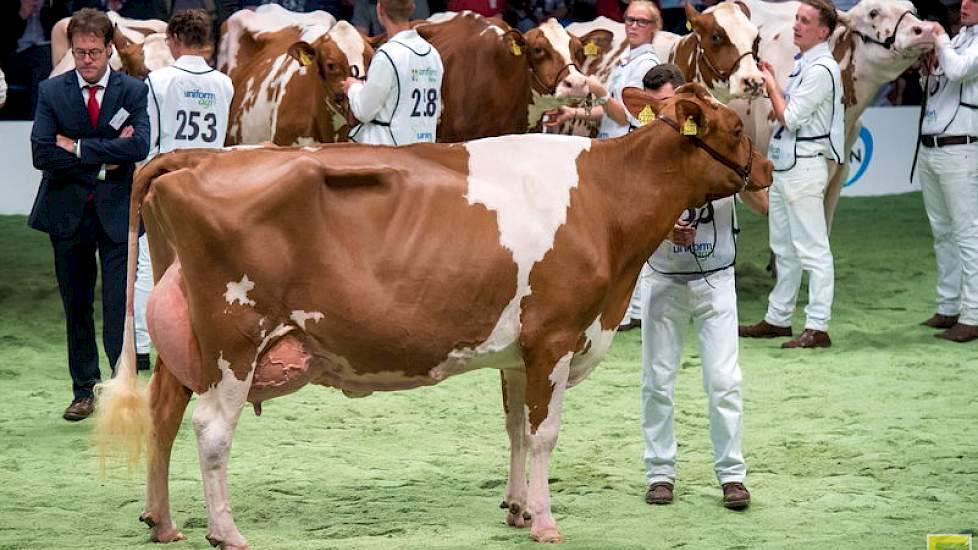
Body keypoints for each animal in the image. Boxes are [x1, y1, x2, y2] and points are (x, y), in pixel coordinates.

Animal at [97, 84, 772, 548]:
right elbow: (545, 433)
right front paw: (545, 522)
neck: (605, 200)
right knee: (211, 429)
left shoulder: (518, 351)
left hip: (186, 341)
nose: (767, 169)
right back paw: (226, 532)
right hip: (234, 340)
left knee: (163, 416)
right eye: (735, 127)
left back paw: (162, 522)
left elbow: (516, 430)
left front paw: (517, 508)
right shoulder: (554, 338)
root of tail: (192, 159)